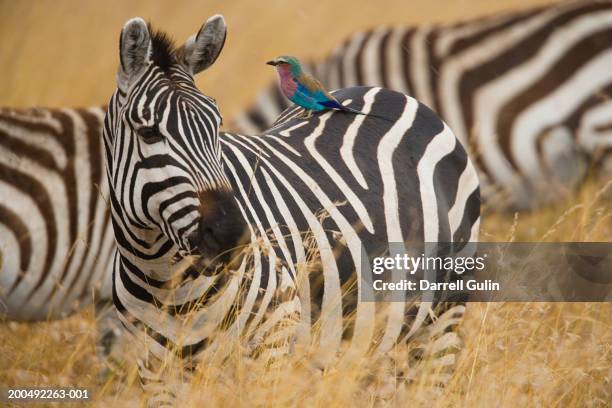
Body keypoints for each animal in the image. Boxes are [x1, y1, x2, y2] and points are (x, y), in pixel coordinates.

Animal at [103, 15, 480, 404]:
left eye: (216, 126)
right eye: (148, 133)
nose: (233, 234)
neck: (166, 277)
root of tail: (392, 93)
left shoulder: (273, 342)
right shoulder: (155, 370)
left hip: (443, 313)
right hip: (377, 335)